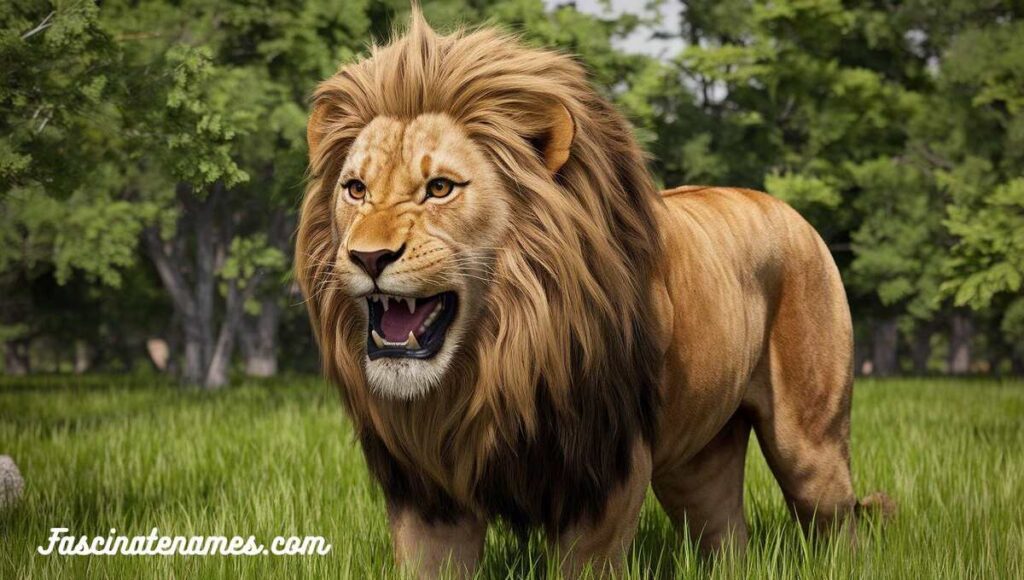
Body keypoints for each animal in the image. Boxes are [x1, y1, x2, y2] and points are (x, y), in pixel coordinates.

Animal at [296, 10, 887, 578]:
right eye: (356, 190)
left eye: (440, 188)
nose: (369, 258)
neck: (494, 364)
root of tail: (786, 208)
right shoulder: (426, 491)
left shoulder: (605, 473)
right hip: (697, 463)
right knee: (724, 535)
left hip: (810, 443)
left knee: (836, 523)